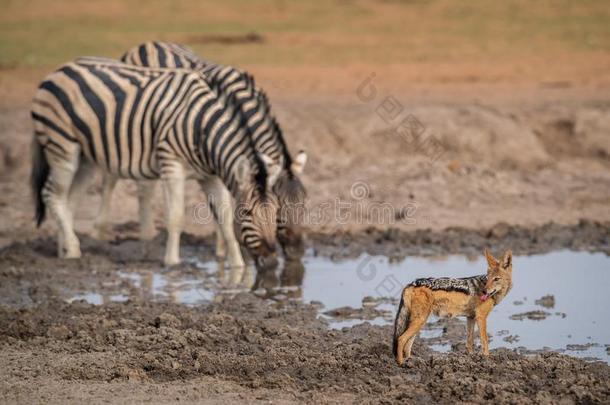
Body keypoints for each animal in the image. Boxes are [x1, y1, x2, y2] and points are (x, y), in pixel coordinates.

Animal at [29, 55, 282, 266]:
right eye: (247, 213)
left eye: (276, 212)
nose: (271, 258)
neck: (201, 129)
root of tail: (58, 70)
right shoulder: (172, 163)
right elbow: (176, 216)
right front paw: (172, 263)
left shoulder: (210, 175)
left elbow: (225, 218)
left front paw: (237, 269)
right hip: (62, 147)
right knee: (52, 195)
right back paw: (73, 249)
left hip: (86, 159)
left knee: (67, 202)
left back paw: (64, 251)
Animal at [95, 42, 308, 268]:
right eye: (280, 209)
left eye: (304, 204)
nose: (297, 252)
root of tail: (146, 44)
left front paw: (225, 250)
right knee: (118, 177)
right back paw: (106, 234)